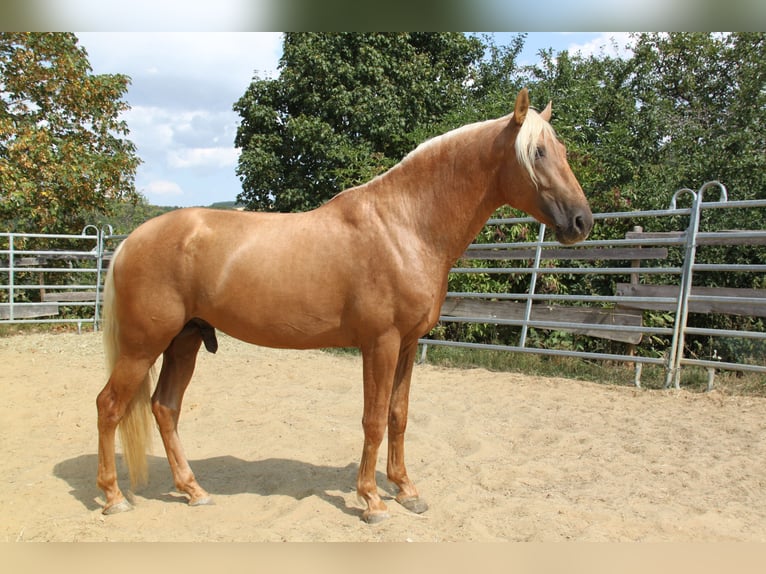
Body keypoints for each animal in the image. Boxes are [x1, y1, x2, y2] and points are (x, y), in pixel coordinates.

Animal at [96, 88, 593, 523]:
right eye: (538, 153)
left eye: (561, 149)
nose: (581, 221)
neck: (405, 226)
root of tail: (131, 241)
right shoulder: (380, 344)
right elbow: (373, 420)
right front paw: (372, 500)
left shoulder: (407, 345)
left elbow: (398, 416)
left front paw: (406, 490)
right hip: (143, 346)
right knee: (109, 406)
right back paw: (114, 497)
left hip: (184, 341)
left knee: (165, 408)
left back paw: (192, 490)